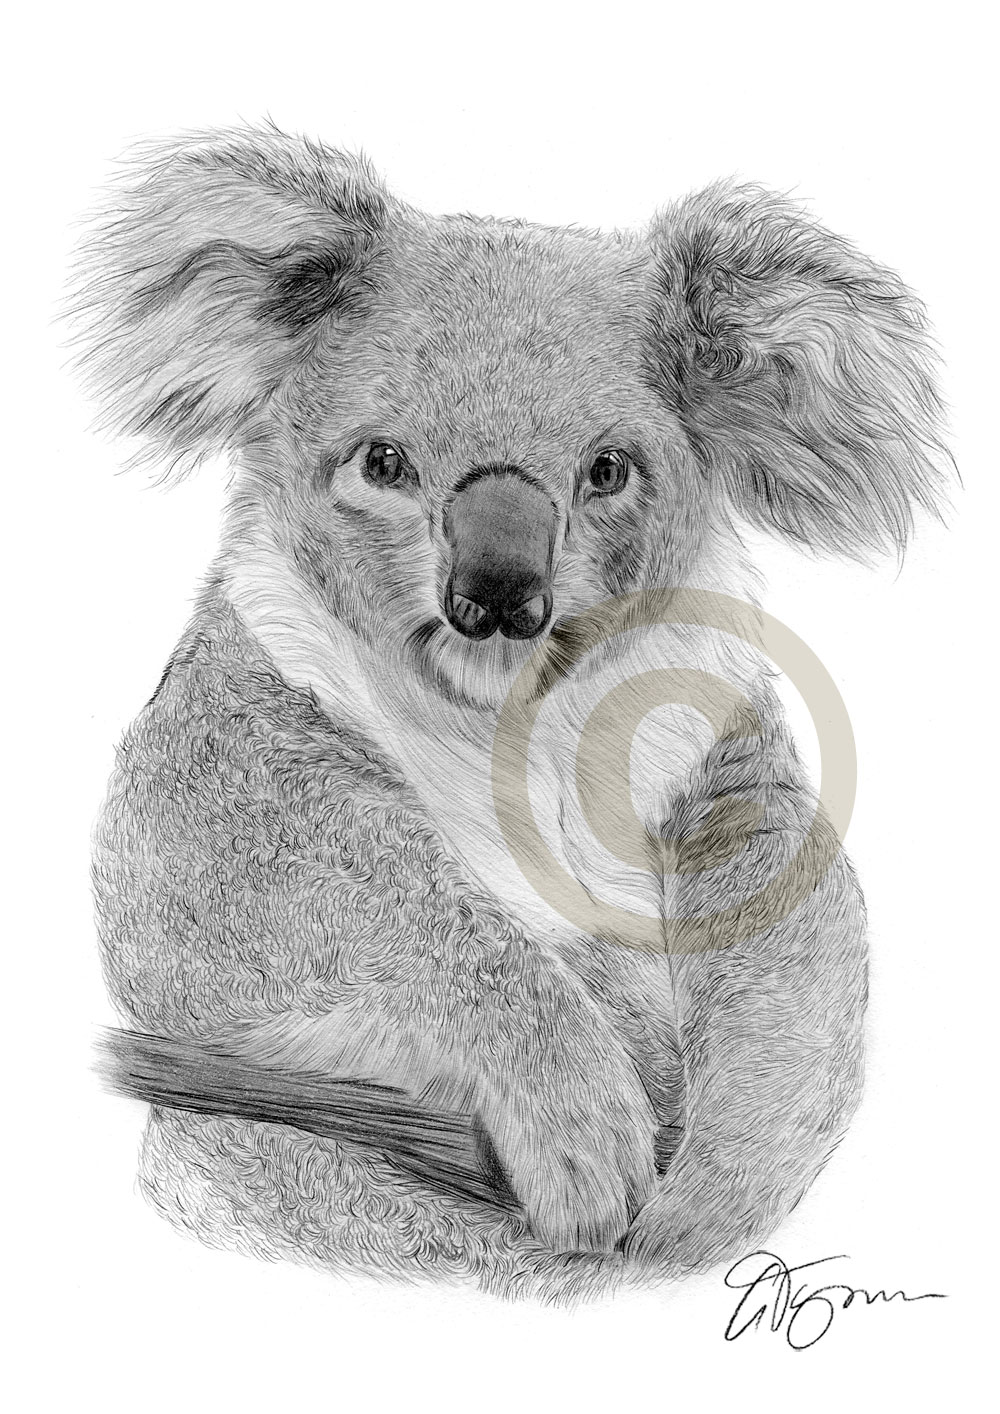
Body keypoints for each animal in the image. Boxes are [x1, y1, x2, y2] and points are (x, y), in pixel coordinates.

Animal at [69, 125, 949, 1303]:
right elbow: (337, 917)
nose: (495, 594)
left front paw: (709, 1199)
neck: (507, 717)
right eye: (384, 461)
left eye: (608, 469)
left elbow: (787, 924)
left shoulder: (707, 744)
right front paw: (587, 1145)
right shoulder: (232, 762)